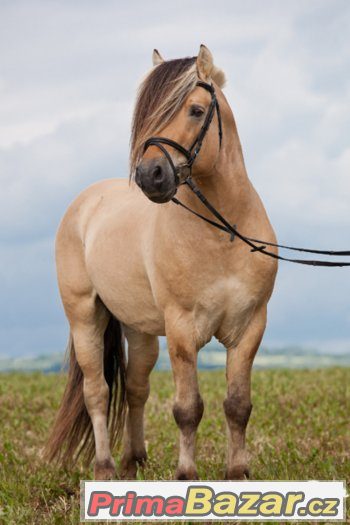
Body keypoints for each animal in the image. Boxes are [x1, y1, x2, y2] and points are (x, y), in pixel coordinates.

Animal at [45, 44, 278, 478]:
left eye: (196, 110)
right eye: (149, 113)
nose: (150, 175)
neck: (223, 233)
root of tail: (85, 203)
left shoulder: (249, 327)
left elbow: (237, 406)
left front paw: (237, 474)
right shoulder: (183, 329)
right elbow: (188, 409)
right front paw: (186, 475)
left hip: (139, 329)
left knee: (136, 388)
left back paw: (133, 462)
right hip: (85, 317)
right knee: (97, 392)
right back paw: (105, 468)